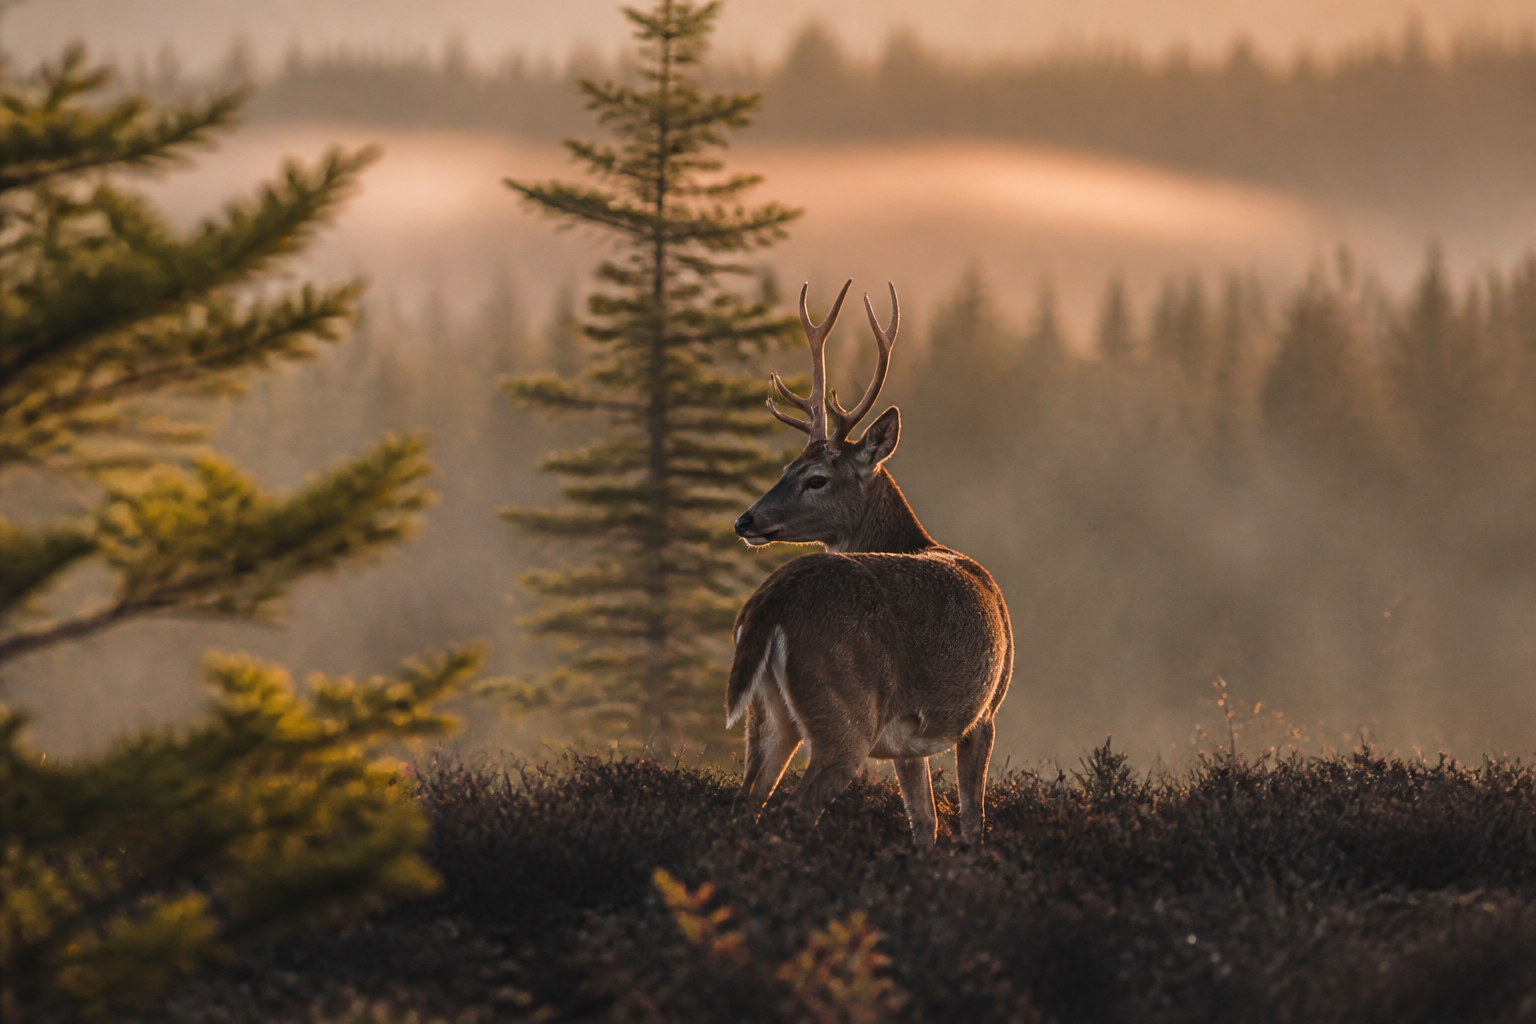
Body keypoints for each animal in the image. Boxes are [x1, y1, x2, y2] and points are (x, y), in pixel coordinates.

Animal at [726, 279, 1014, 849]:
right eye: (788, 470)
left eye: (812, 476)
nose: (746, 520)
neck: (917, 541)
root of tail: (769, 605)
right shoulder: (984, 712)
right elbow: (972, 822)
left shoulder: (909, 741)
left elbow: (925, 823)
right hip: (844, 711)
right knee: (794, 809)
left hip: (767, 716)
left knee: (744, 804)